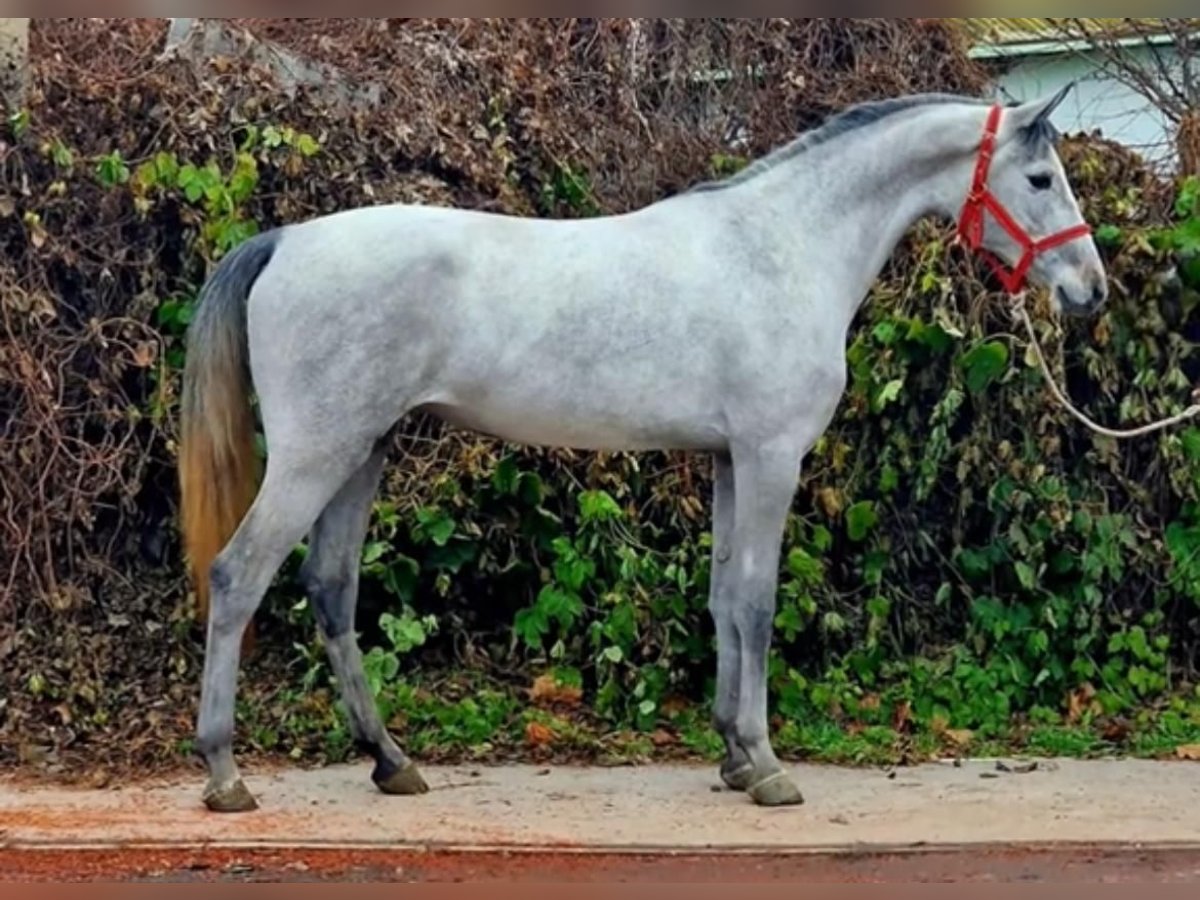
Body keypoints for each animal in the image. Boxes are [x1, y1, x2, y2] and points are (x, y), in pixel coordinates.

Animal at [177, 88, 1104, 816]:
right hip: (315, 457)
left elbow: (724, 598)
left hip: (361, 453)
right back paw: (225, 774)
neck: (780, 248)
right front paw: (768, 766)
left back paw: (390, 761)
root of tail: (288, 241)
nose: (1089, 290)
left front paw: (733, 757)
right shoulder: (770, 458)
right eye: (1039, 179)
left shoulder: (731, 459)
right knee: (238, 576)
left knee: (331, 589)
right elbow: (757, 603)